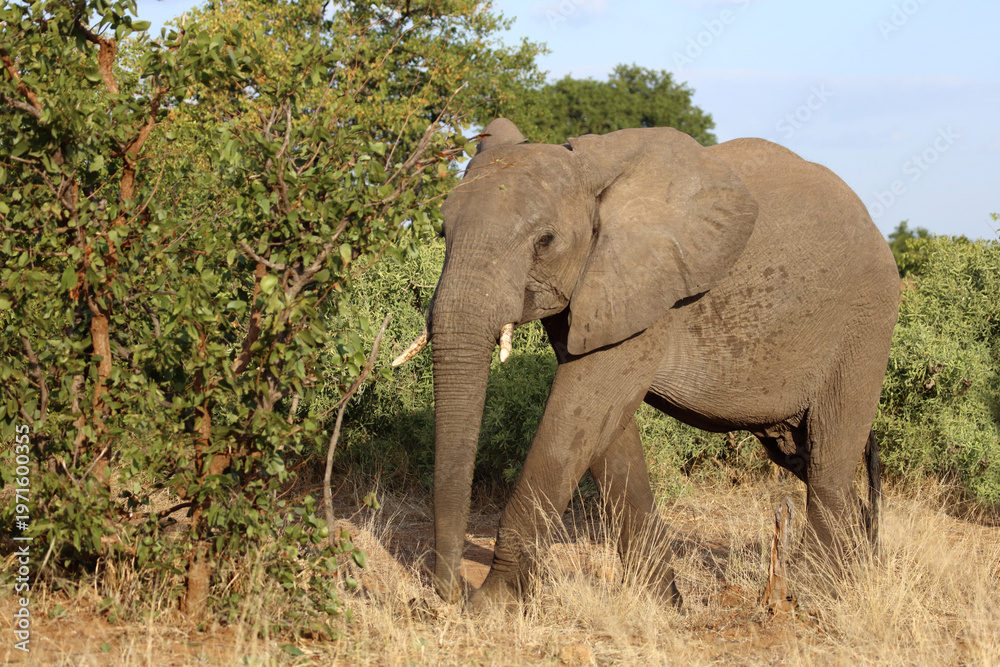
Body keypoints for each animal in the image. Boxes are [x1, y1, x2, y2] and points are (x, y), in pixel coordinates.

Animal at [393, 118, 899, 610]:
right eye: (443, 234)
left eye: (545, 241)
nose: (447, 593)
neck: (592, 175)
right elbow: (602, 430)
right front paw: (664, 607)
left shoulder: (652, 291)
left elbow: (580, 410)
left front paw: (491, 608)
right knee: (802, 454)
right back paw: (856, 574)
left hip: (865, 326)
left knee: (828, 467)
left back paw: (818, 598)